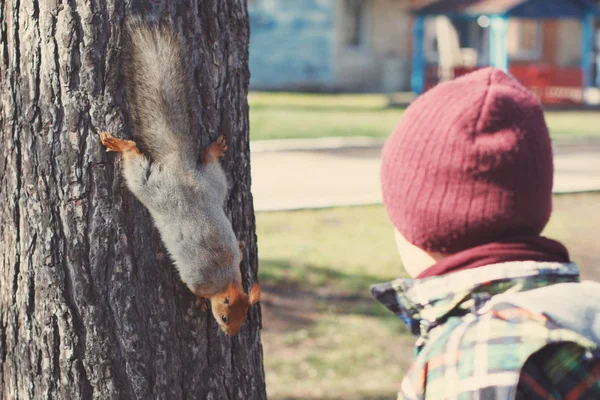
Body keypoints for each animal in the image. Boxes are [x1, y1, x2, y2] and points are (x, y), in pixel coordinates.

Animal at [98, 20, 258, 336]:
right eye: (225, 316)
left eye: (245, 316)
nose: (229, 334)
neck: (226, 278)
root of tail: (180, 165)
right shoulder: (196, 277)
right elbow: (195, 290)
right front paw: (199, 302)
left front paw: (242, 247)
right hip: (150, 186)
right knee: (133, 161)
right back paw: (119, 145)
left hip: (214, 183)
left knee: (209, 165)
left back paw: (214, 149)